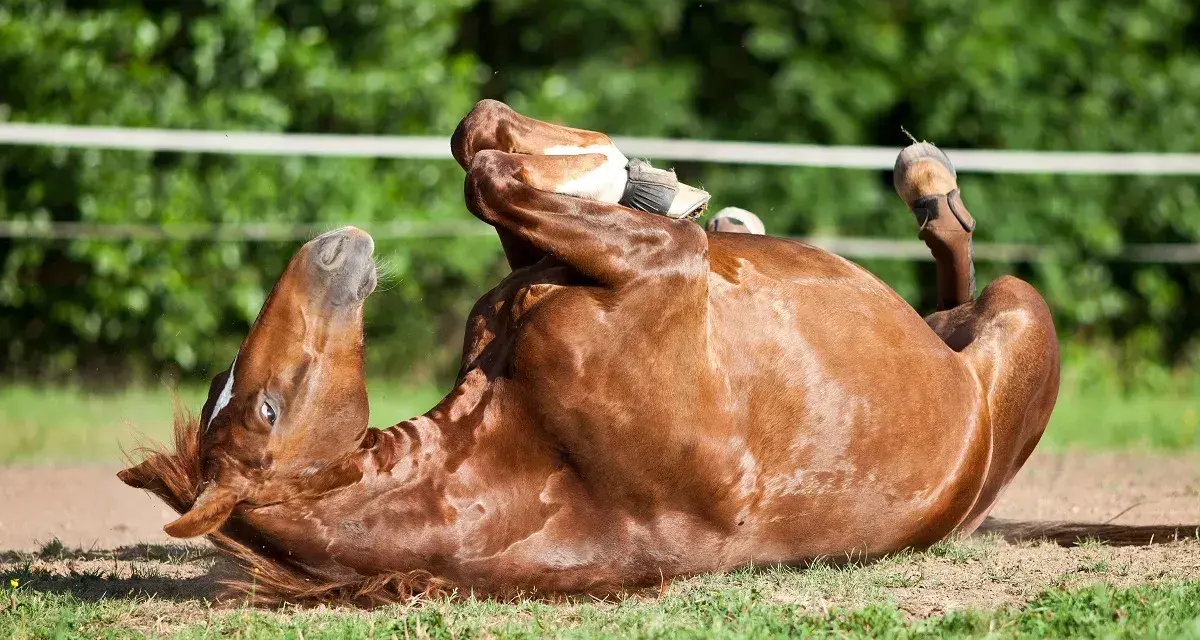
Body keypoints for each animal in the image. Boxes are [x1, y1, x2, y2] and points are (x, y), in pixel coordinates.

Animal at [120, 101, 1195, 605]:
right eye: (262, 407)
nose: (332, 249)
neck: (526, 453)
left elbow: (481, 149)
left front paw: (641, 176)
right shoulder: (658, 271)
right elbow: (490, 173)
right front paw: (640, 179)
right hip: (1019, 319)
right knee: (968, 274)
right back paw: (925, 181)